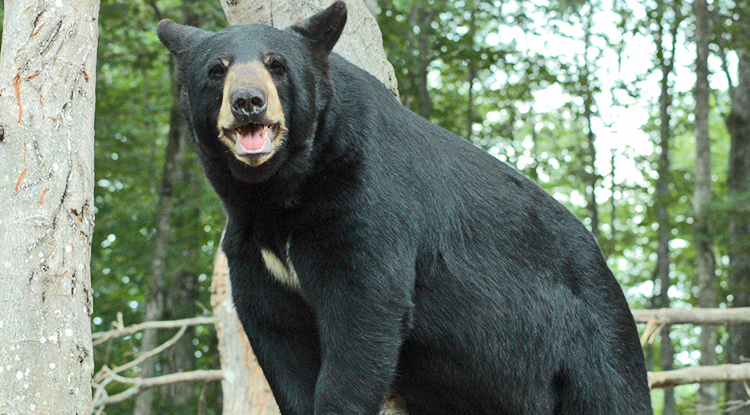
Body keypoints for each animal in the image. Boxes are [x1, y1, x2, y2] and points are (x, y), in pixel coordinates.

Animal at [157, 1, 652, 414]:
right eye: (216, 70)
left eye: (276, 65)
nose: (248, 103)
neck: (278, 190)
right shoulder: (250, 241)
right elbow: (276, 332)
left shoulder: (366, 201)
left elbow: (362, 309)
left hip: (595, 340)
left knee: (613, 395)